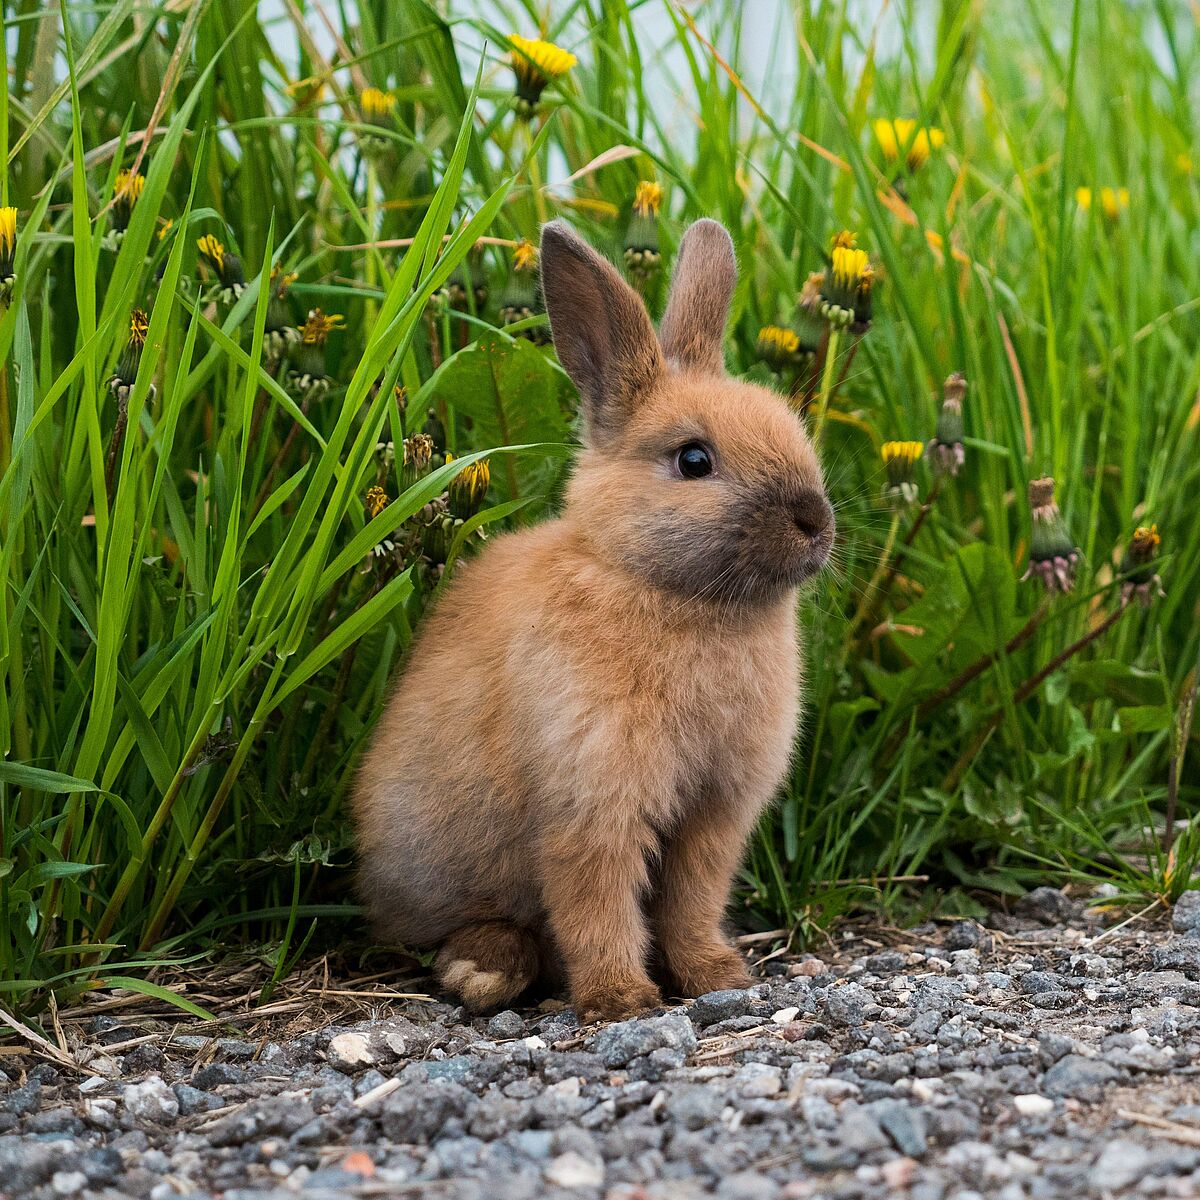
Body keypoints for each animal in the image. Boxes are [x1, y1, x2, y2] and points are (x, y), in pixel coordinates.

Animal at [353, 218, 834, 1022]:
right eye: (694, 459)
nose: (816, 522)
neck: (665, 589)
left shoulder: (714, 815)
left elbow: (690, 902)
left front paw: (718, 977)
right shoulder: (591, 801)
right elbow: (597, 903)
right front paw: (621, 1000)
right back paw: (482, 971)